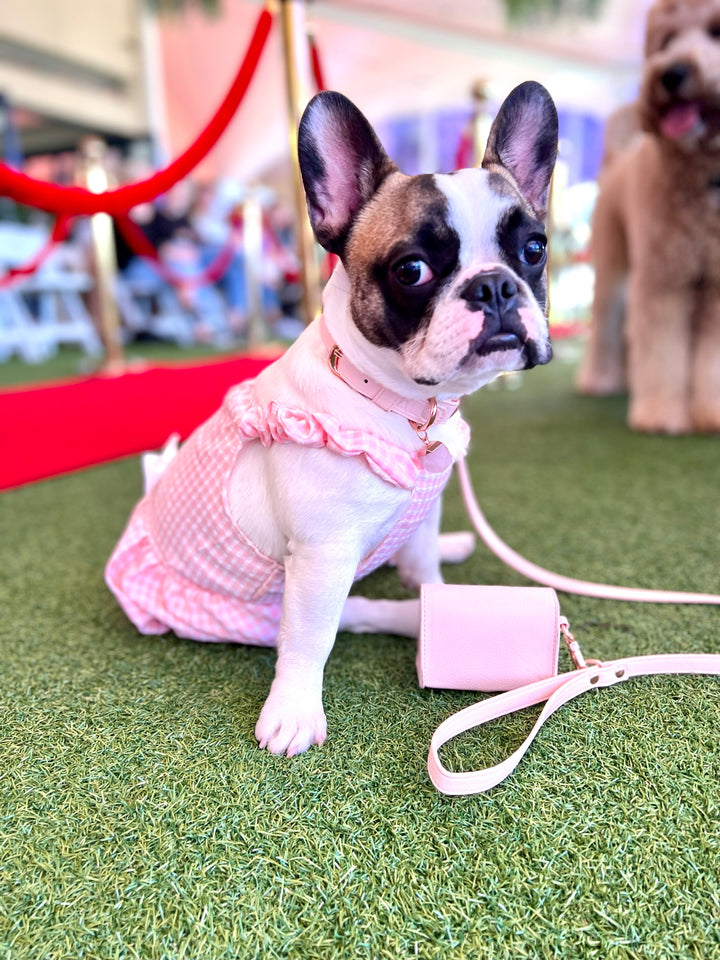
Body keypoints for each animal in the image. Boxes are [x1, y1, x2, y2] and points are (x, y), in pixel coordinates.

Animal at [105, 82, 556, 752]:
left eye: (534, 250)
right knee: (351, 616)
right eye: (412, 270)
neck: (398, 403)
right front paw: (293, 712)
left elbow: (422, 561)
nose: (495, 286)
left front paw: (439, 590)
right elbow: (310, 639)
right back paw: (406, 619)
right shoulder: (323, 556)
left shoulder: (420, 513)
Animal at [580, 0, 720, 432]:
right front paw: (661, 412)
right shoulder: (663, 279)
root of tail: (623, 155)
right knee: (606, 326)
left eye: (716, 31)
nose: (670, 73)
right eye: (667, 40)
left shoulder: (716, 286)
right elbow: (661, 350)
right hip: (612, 266)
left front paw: (710, 411)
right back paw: (600, 380)